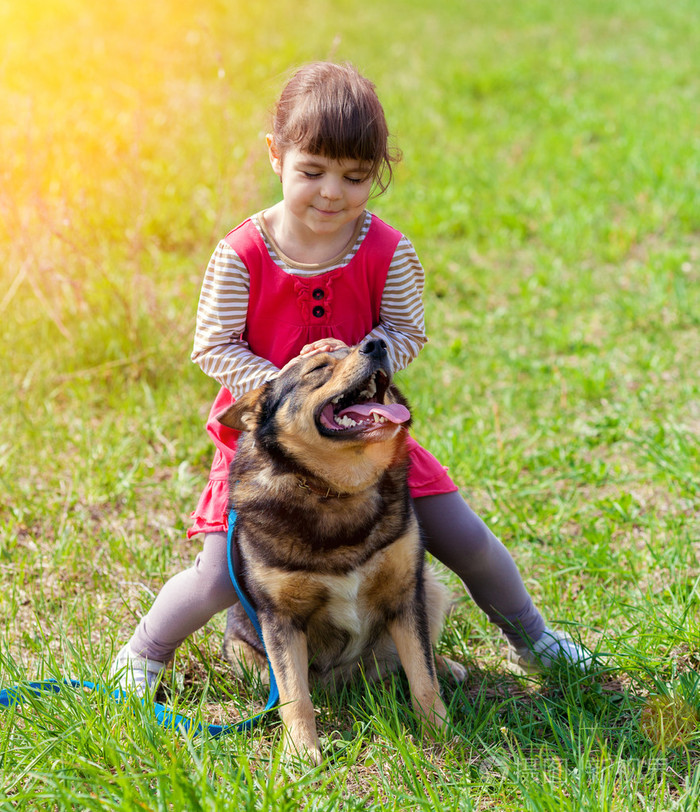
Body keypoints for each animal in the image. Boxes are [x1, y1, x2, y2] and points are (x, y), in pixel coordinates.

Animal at [216, 338, 462, 760]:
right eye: (317, 368)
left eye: (355, 345)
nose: (376, 344)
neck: (337, 490)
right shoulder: (281, 619)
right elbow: (294, 695)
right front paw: (301, 753)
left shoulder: (404, 593)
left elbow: (422, 675)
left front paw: (440, 732)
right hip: (243, 652)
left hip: (428, 587)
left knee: (419, 654)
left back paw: (447, 665)